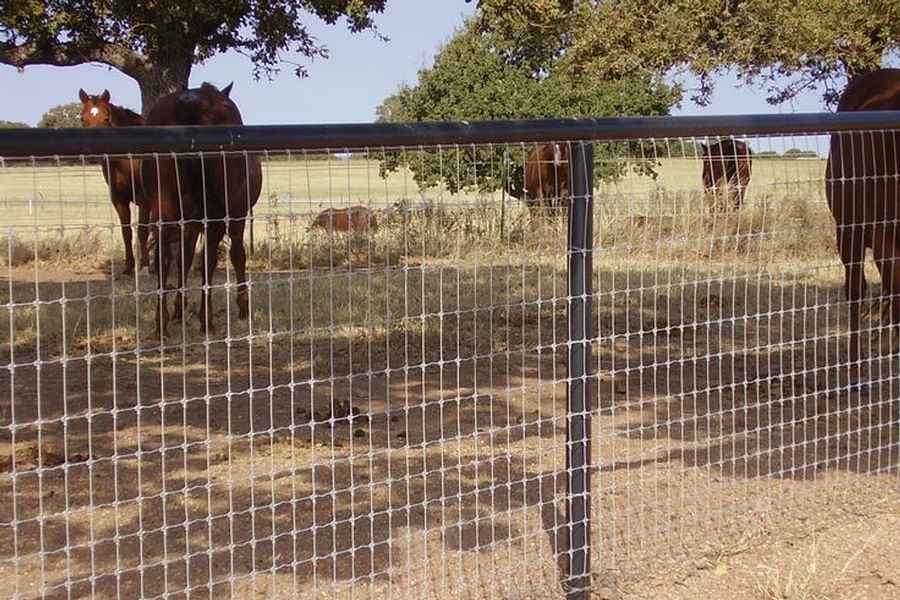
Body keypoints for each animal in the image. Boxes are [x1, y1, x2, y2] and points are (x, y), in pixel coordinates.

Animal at [78, 88, 151, 275]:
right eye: (82, 118)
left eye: (106, 118)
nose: (92, 153)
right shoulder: (119, 199)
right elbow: (126, 232)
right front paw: (128, 267)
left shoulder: (143, 200)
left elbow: (142, 231)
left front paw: (145, 267)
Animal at [141, 82, 262, 338]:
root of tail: (190, 102)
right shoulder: (237, 216)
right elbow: (238, 255)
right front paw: (243, 307)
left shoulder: (191, 223)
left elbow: (184, 259)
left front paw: (179, 309)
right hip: (216, 213)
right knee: (208, 259)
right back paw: (206, 322)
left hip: (164, 207)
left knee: (165, 256)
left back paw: (161, 324)